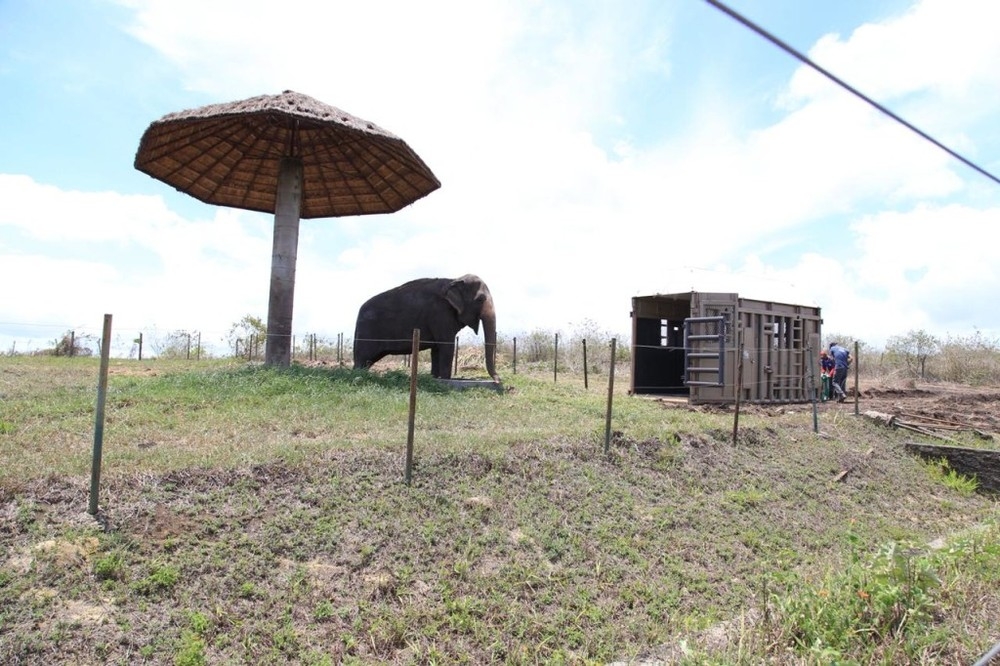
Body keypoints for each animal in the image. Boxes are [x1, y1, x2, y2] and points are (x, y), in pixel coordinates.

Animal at [353, 274, 499, 382]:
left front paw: (435, 377)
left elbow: (437, 349)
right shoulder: (440, 313)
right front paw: (446, 379)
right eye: (480, 299)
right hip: (367, 333)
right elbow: (447, 345)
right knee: (362, 360)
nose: (498, 380)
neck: (454, 279)